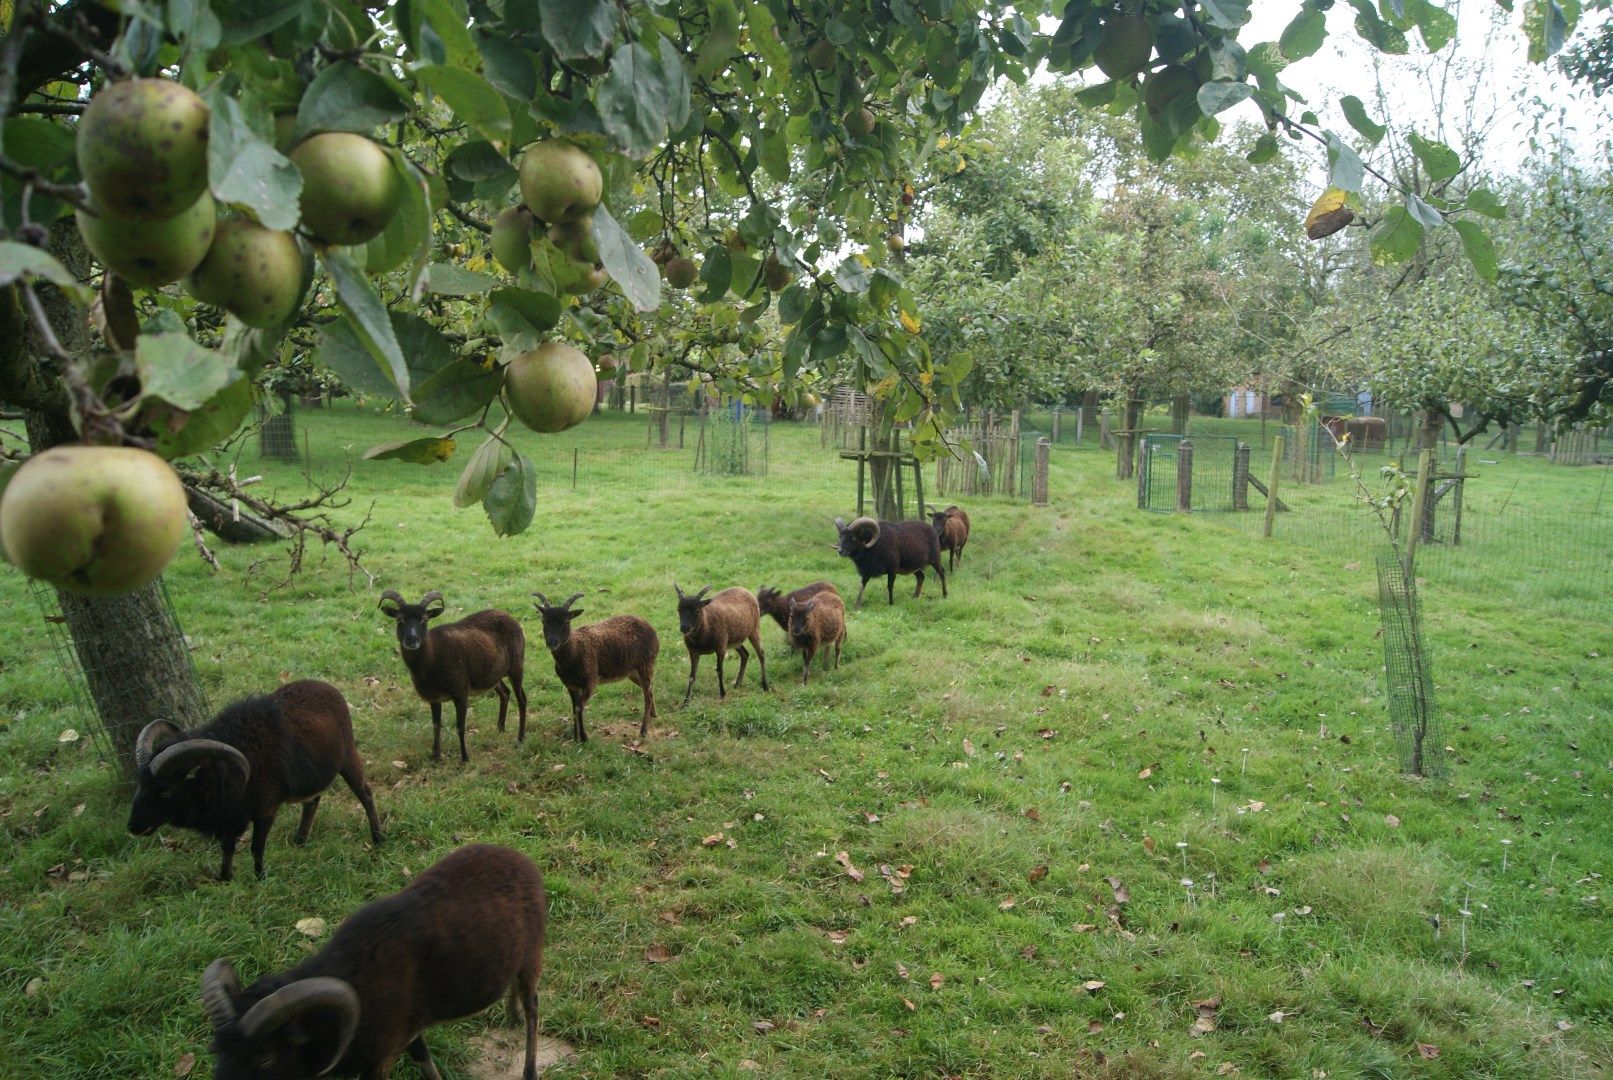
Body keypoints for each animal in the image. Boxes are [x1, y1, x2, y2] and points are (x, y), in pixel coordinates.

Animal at [127, 680, 382, 883]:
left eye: (164, 791)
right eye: (140, 784)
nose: (133, 827)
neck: (222, 773)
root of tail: (326, 686)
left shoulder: (265, 810)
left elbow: (256, 848)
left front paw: (261, 879)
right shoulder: (232, 816)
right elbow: (228, 847)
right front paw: (225, 879)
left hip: (347, 757)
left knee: (365, 794)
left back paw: (378, 839)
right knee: (312, 801)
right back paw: (300, 841)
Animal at [201, 844, 548, 1080]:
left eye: (263, 1059)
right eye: (216, 1050)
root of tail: (522, 859)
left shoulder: (383, 1051)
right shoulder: (406, 1030)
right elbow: (422, 1056)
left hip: (531, 955)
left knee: (533, 1006)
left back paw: (528, 1065)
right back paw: (512, 1017)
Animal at [377, 593, 529, 770]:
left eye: (425, 620)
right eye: (398, 619)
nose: (412, 640)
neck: (431, 659)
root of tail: (507, 615)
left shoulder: (460, 692)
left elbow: (460, 726)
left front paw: (464, 758)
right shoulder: (434, 698)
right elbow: (436, 725)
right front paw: (436, 757)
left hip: (516, 665)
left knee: (522, 700)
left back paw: (520, 738)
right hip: (492, 675)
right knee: (505, 693)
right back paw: (500, 729)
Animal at [535, 593, 661, 744]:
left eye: (566, 622)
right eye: (544, 621)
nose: (552, 642)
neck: (575, 651)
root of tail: (651, 628)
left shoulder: (590, 682)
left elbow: (578, 707)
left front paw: (584, 738)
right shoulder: (571, 685)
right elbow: (573, 708)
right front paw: (575, 737)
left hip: (646, 664)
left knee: (647, 695)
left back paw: (643, 731)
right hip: (632, 671)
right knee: (649, 690)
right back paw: (654, 714)